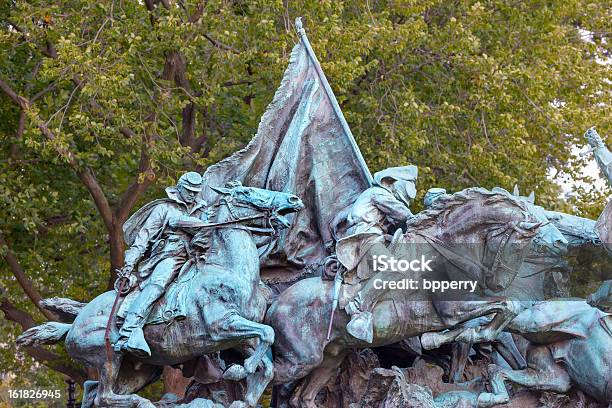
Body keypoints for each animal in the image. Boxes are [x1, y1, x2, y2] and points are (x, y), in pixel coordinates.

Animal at [17, 182, 304, 408]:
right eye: (247, 191)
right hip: (108, 355)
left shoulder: (241, 337)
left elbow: (267, 358)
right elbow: (268, 334)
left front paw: (244, 387)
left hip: (141, 371)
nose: (294, 199)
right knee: (103, 395)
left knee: (93, 392)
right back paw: (142, 399)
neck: (230, 269)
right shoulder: (222, 327)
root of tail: (75, 324)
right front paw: (238, 371)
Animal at [266, 186, 548, 406]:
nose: (498, 283)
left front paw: (465, 337)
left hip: (329, 359)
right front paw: (446, 339)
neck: (443, 251)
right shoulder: (451, 309)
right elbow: (501, 308)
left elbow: (504, 311)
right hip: (301, 359)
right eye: (518, 245)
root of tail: (276, 302)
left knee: (301, 398)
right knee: (265, 375)